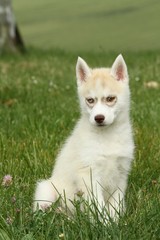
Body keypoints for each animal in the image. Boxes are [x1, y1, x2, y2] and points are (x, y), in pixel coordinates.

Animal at [33, 54, 134, 221]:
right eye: (90, 100)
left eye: (110, 98)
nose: (99, 118)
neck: (107, 137)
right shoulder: (89, 175)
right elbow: (99, 207)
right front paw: (104, 224)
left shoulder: (121, 174)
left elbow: (116, 204)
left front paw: (116, 222)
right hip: (46, 190)